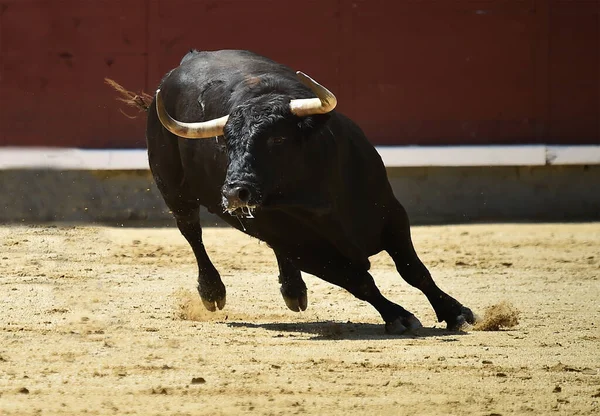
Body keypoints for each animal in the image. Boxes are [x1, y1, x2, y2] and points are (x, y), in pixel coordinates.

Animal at [106, 49, 474, 334]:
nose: (233, 193)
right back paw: (213, 292)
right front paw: (399, 317)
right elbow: (359, 281)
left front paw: (456, 313)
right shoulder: (307, 251)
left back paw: (293, 291)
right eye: (227, 144)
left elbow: (414, 270)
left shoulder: (392, 214)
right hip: (174, 191)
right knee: (192, 233)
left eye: (278, 139)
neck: (316, 197)